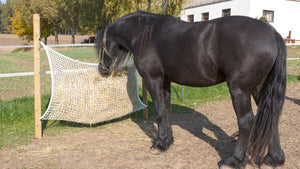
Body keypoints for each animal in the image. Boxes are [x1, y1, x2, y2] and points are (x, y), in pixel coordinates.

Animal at [95, 11, 286, 168]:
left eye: (100, 44)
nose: (102, 69)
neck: (146, 33)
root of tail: (272, 33)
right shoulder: (165, 83)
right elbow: (166, 112)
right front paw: (167, 142)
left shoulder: (153, 80)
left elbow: (159, 112)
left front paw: (159, 145)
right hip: (259, 88)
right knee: (271, 117)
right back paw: (274, 158)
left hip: (240, 90)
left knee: (246, 121)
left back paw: (234, 161)